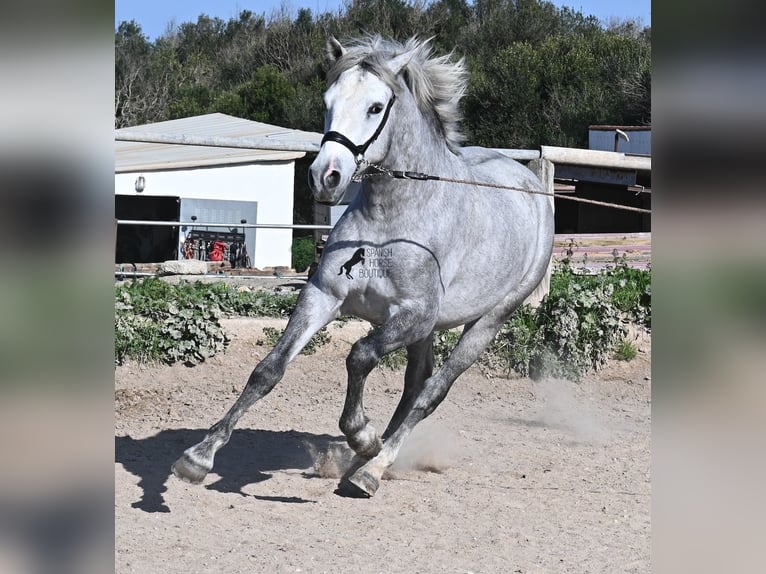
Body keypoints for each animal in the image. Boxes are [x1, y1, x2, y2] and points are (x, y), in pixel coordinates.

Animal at [171, 36, 556, 498]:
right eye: (327, 102)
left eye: (375, 107)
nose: (326, 177)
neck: (390, 221)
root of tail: (531, 184)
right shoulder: (324, 295)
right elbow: (269, 369)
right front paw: (199, 456)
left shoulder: (412, 315)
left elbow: (359, 356)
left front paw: (362, 435)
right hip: (427, 332)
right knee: (415, 384)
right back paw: (363, 462)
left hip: (487, 322)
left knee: (431, 393)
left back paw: (372, 467)